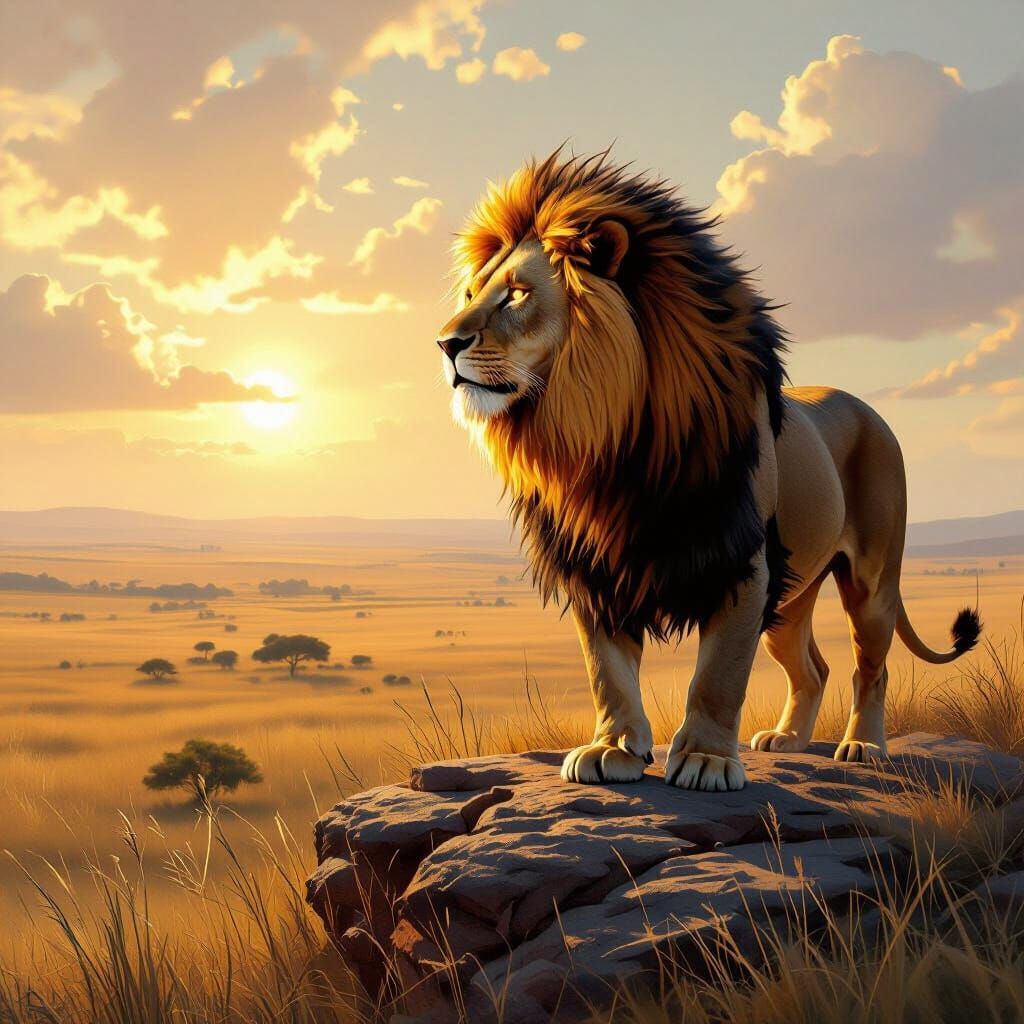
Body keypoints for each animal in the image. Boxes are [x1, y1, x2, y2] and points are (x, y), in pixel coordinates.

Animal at [434, 150, 981, 792]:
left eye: (517, 294)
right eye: (472, 292)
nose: (445, 342)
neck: (610, 441)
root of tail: (868, 408)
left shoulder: (741, 561)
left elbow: (718, 675)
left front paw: (705, 759)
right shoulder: (598, 565)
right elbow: (607, 672)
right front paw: (611, 748)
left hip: (869, 581)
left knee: (870, 667)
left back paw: (864, 746)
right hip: (790, 597)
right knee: (813, 667)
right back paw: (788, 740)